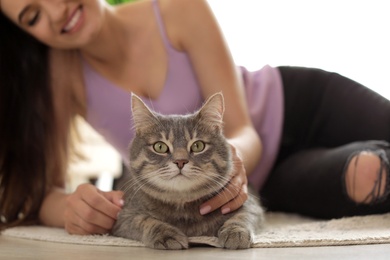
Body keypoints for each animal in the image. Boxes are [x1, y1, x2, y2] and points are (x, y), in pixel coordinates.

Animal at [112, 93, 266, 250]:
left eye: (198, 146)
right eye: (160, 147)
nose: (180, 161)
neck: (182, 204)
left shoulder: (248, 204)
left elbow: (242, 216)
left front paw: (236, 232)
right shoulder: (124, 217)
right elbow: (145, 220)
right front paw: (166, 234)